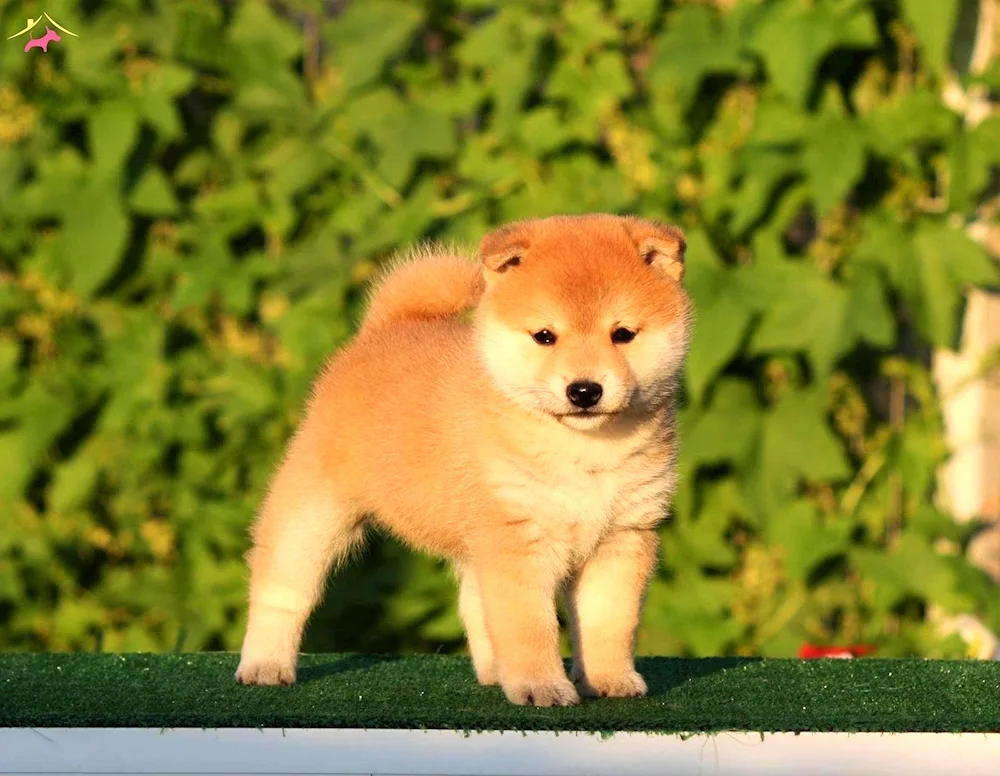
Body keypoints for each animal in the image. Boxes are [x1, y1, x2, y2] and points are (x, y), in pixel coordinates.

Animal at [235, 211, 692, 704]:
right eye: (544, 336)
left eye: (623, 334)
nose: (584, 390)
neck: (584, 451)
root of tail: (384, 328)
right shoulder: (517, 539)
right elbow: (529, 627)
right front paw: (542, 686)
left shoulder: (621, 537)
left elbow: (608, 624)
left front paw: (608, 680)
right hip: (312, 513)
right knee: (281, 592)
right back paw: (264, 665)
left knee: (473, 606)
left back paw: (495, 671)